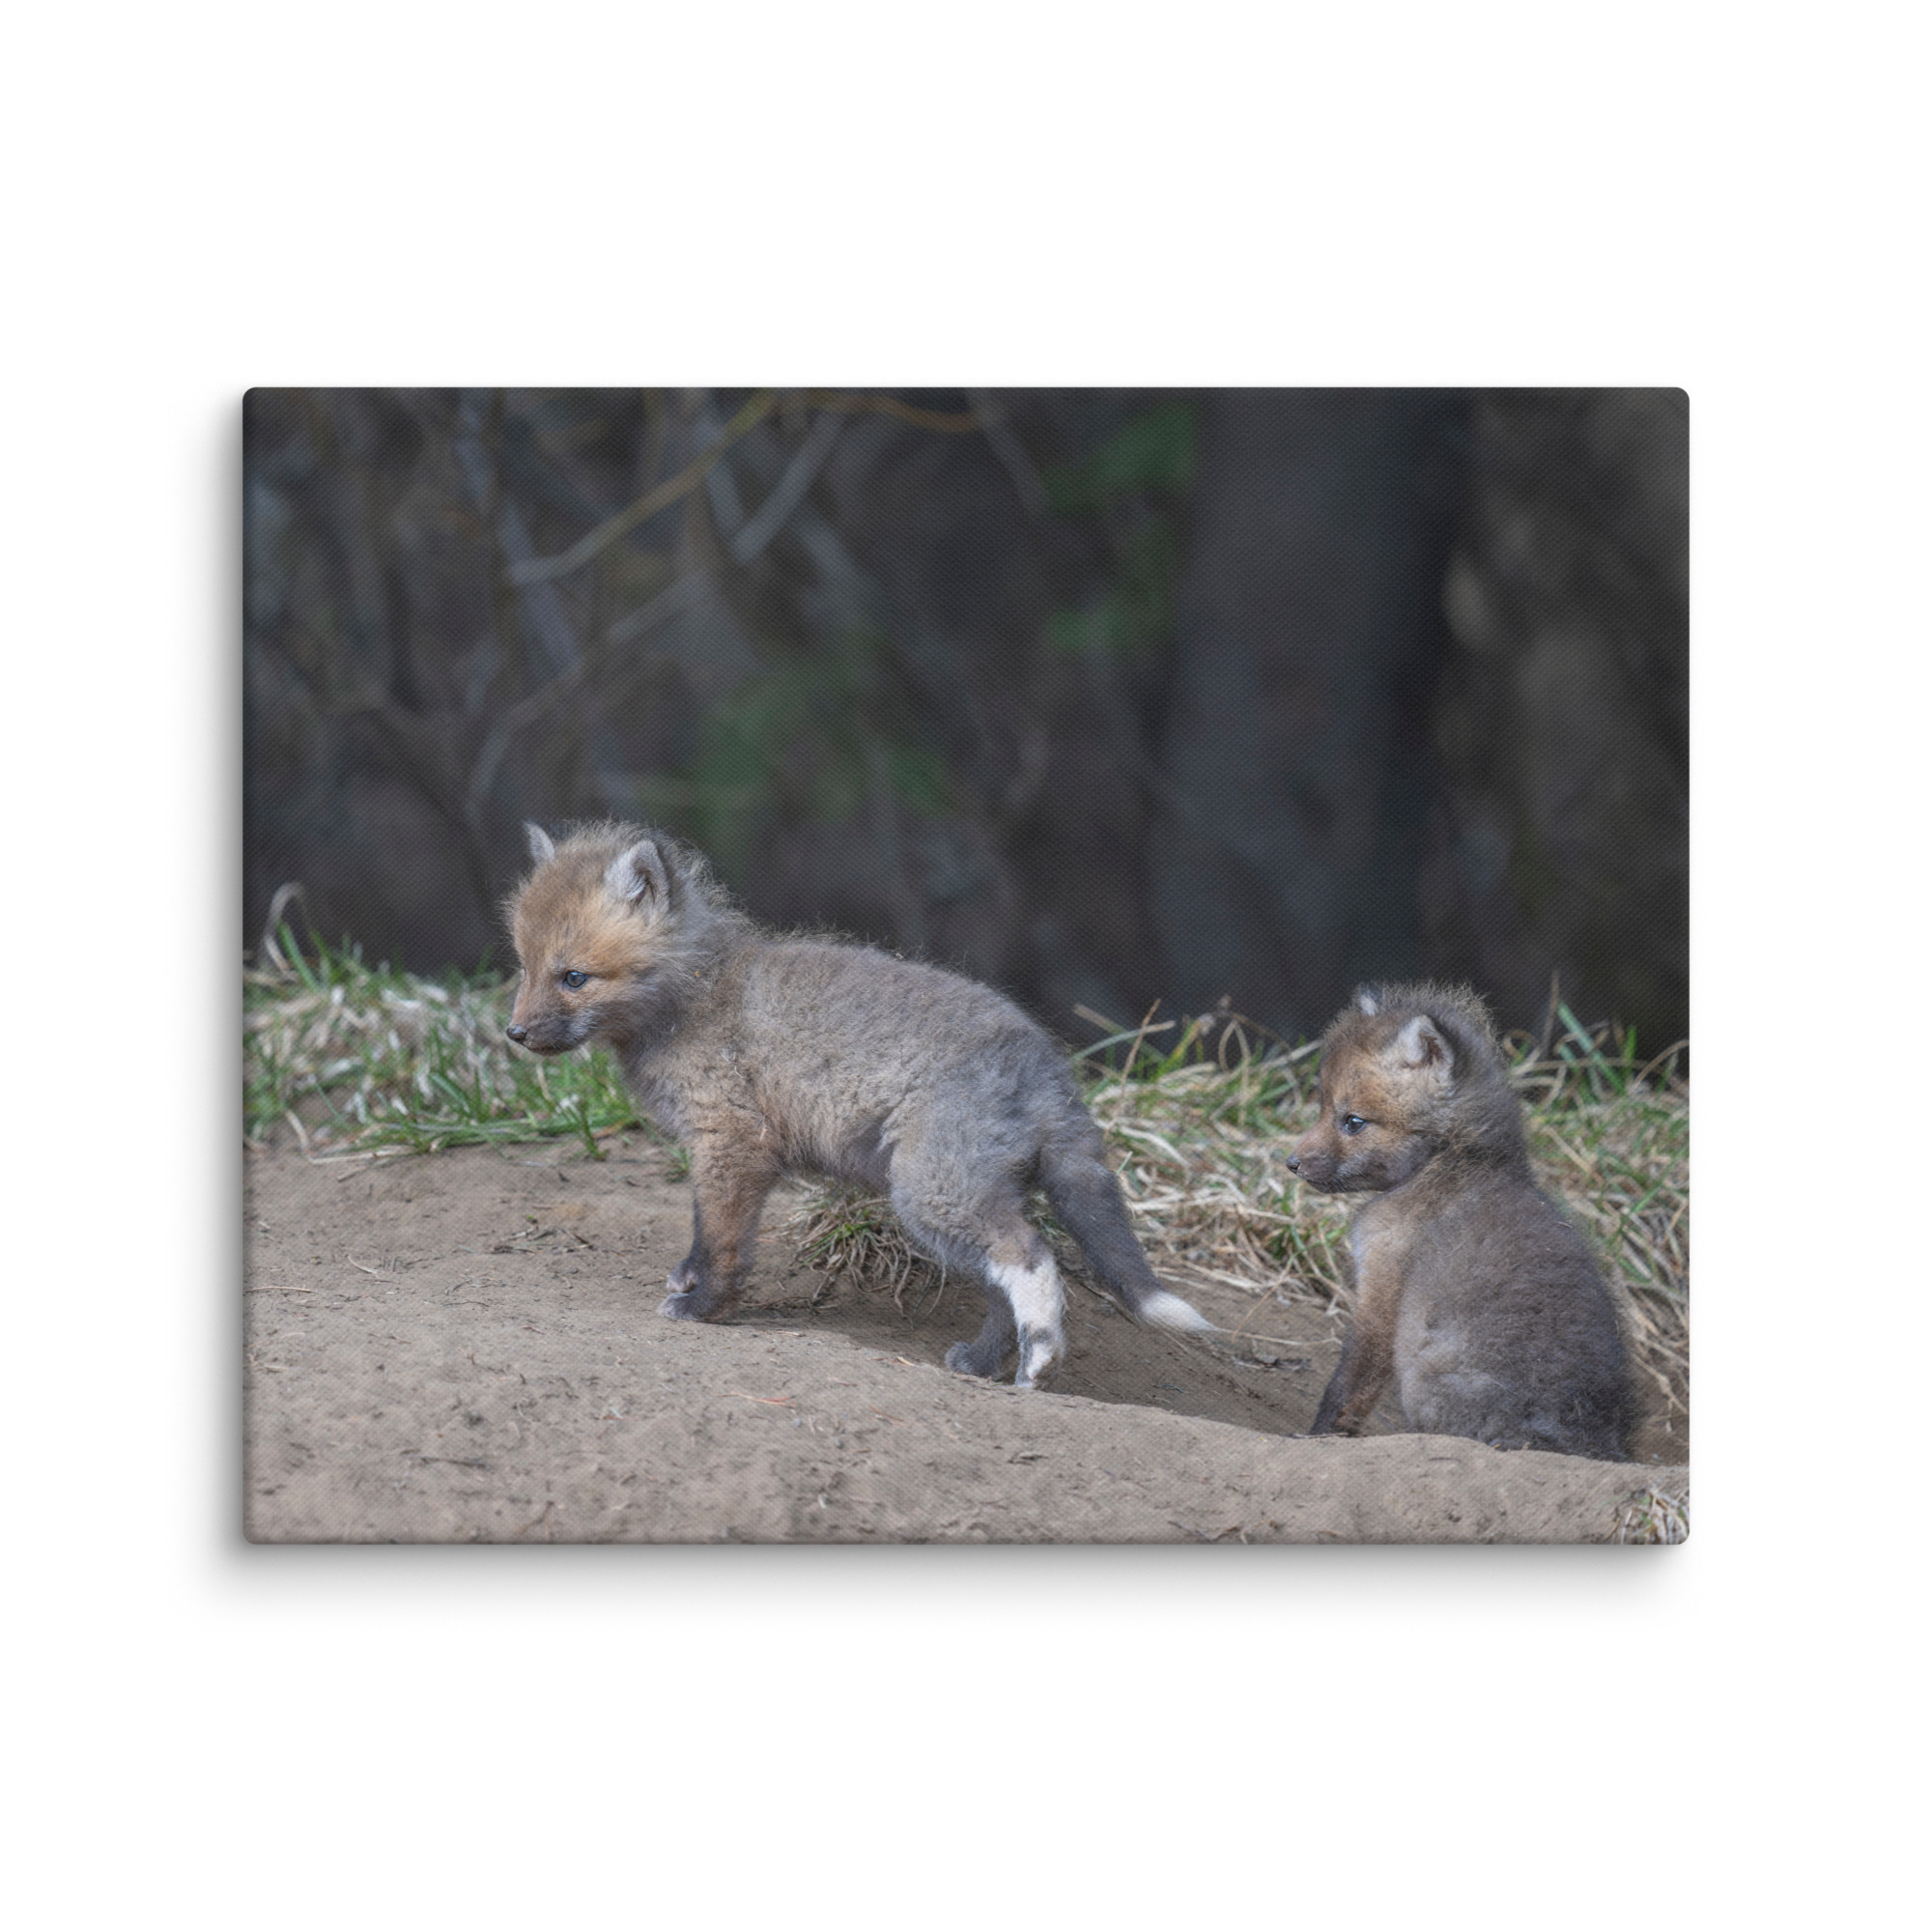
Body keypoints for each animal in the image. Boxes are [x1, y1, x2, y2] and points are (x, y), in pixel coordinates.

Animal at [504, 820, 1216, 1388]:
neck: (694, 995)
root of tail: (1049, 1067)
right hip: (963, 1198)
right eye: (524, 967)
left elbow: (722, 1240)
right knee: (1001, 1282)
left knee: (1031, 1256)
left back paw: (1040, 1362)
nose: (513, 1034)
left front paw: (705, 1306)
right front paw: (690, 1281)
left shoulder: (732, 1141)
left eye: (574, 977)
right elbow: (704, 1230)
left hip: (931, 1193)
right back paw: (983, 1364)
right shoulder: (723, 1150)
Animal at [1288, 981, 1634, 1461]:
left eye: (1353, 1122)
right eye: (1322, 1107)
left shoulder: (1382, 1287)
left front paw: (1317, 1437)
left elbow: (1348, 1385)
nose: (1292, 1163)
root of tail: (1588, 1442)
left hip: (1424, 1380)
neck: (1452, 1162)